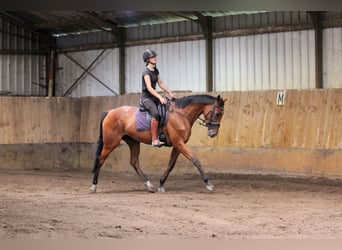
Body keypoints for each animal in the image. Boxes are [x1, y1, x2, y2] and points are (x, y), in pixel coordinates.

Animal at [89, 94, 226, 193]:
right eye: (217, 113)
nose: (213, 133)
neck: (181, 115)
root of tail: (109, 112)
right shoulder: (179, 143)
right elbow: (195, 160)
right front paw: (208, 183)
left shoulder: (177, 146)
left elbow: (170, 165)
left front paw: (161, 184)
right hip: (110, 143)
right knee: (100, 160)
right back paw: (94, 186)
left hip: (133, 142)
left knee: (134, 162)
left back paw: (149, 185)